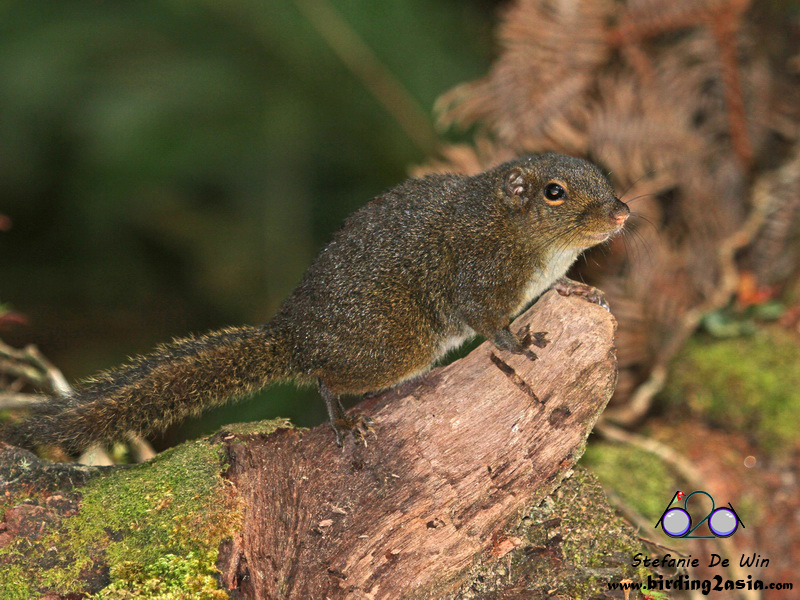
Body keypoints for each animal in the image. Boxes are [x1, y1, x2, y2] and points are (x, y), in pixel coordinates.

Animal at [3, 153, 629, 453]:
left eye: (603, 177)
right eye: (554, 193)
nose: (623, 211)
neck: (525, 237)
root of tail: (294, 334)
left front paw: (579, 291)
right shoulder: (479, 277)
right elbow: (490, 323)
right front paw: (521, 343)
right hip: (397, 346)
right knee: (326, 378)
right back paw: (344, 421)